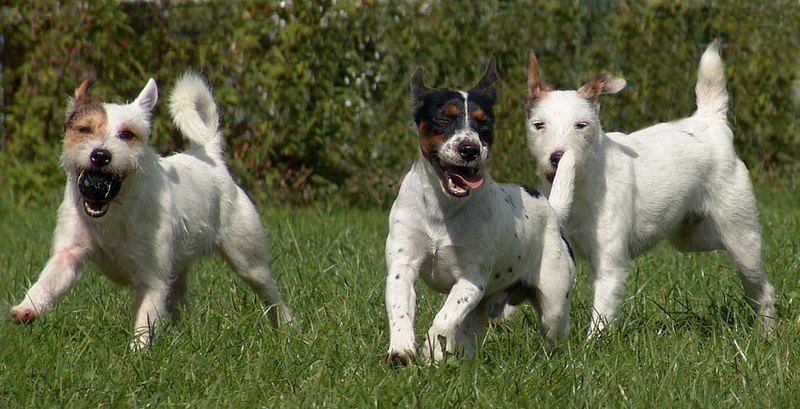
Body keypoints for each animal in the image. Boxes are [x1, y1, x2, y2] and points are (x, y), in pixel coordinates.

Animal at [11, 73, 294, 348]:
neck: (116, 210)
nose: (100, 155)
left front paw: (137, 352)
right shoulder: (69, 255)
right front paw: (27, 308)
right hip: (179, 270)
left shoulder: (153, 278)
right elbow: (48, 281)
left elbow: (146, 319)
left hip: (248, 261)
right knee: (180, 301)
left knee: (271, 296)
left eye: (127, 134)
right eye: (84, 129)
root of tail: (210, 156)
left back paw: (287, 328)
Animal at [382, 59, 576, 362]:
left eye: (484, 123)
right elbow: (401, 308)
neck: (444, 208)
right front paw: (402, 349)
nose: (469, 148)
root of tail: (552, 212)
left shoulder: (471, 280)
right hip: (481, 309)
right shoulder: (403, 265)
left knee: (552, 329)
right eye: (444, 118)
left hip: (553, 302)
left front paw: (429, 348)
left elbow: (444, 318)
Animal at [524, 41, 776, 334]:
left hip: (740, 235)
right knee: (716, 243)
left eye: (581, 125)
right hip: (690, 237)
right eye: (538, 125)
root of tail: (709, 121)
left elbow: (602, 315)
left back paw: (768, 332)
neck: (581, 183)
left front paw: (594, 342)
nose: (557, 157)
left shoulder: (610, 266)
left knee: (761, 285)